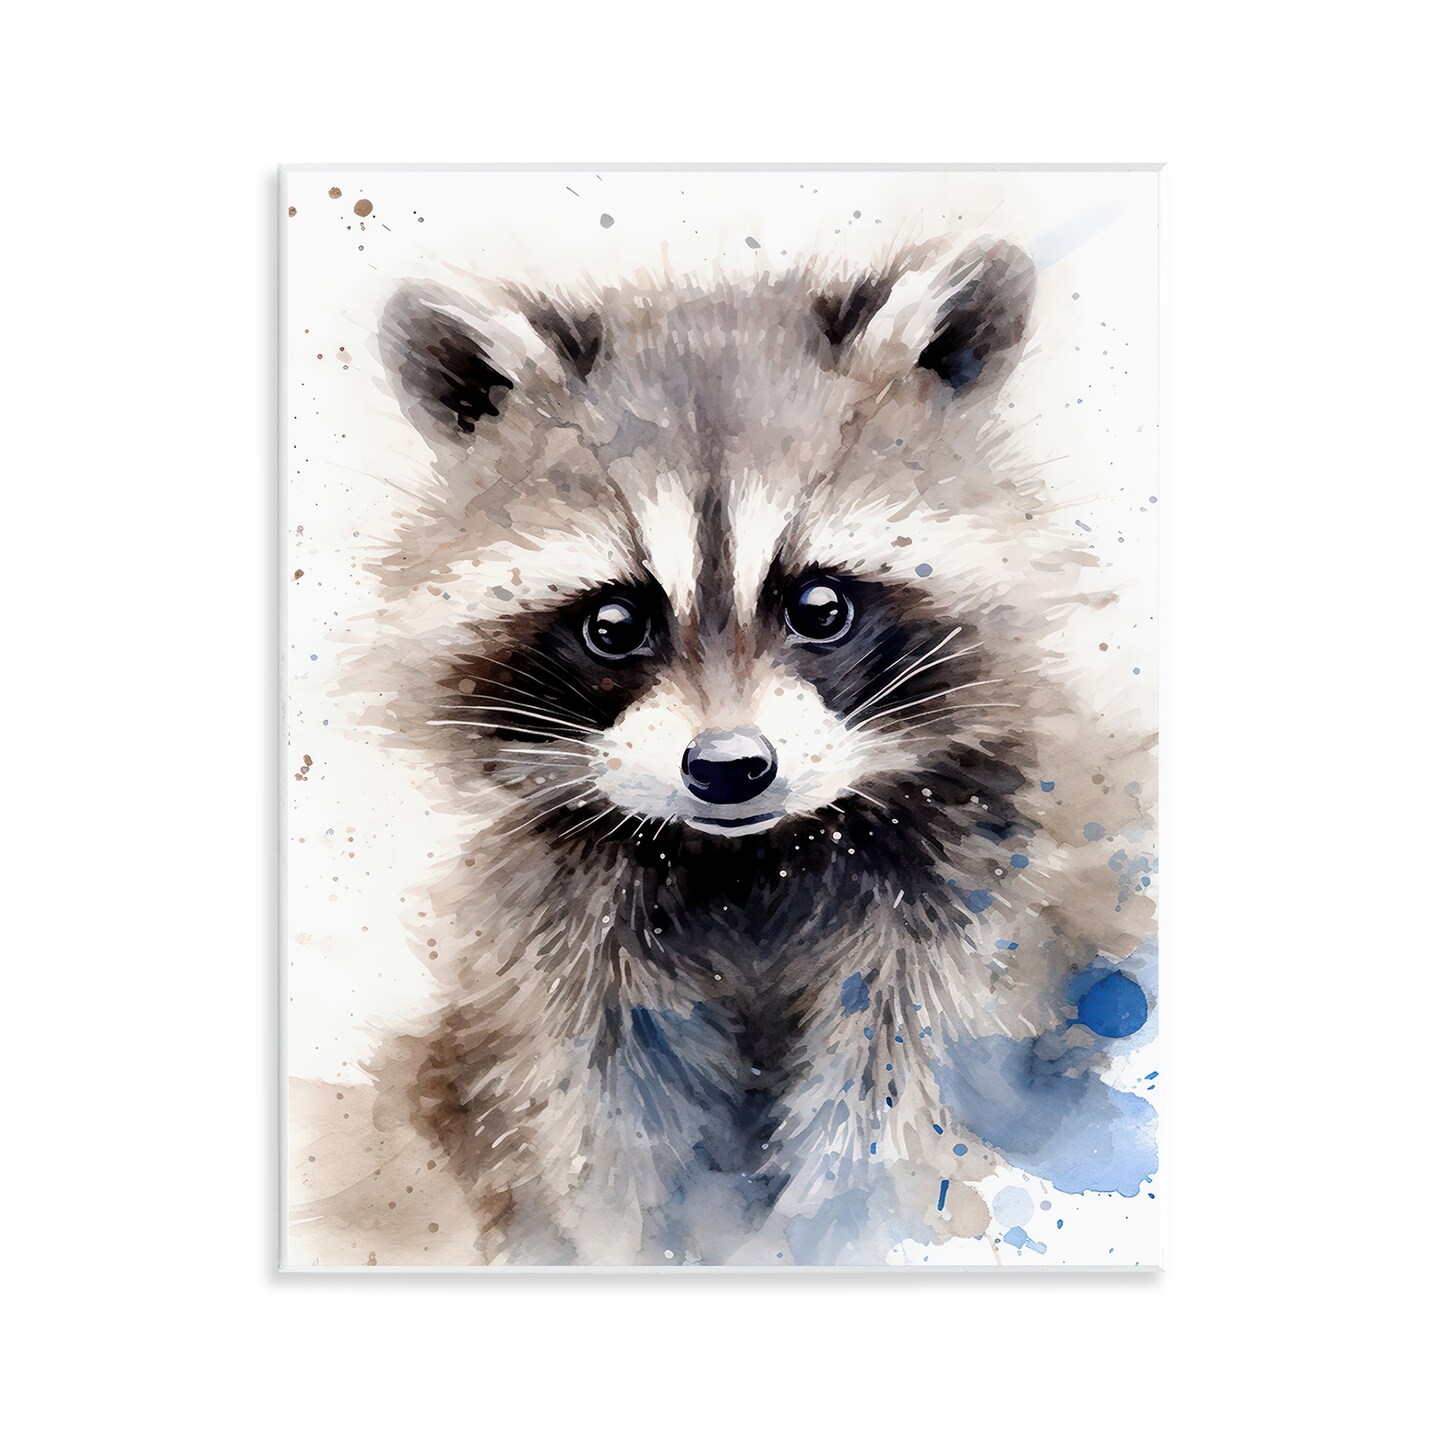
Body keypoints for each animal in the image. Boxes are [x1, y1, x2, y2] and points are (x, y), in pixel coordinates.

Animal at [297, 236, 1157, 1266]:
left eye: (820, 606)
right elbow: (600, 1122)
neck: (748, 862)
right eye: (613, 623)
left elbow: (903, 1092)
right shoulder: (565, 943)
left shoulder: (977, 887)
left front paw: (844, 1227)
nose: (729, 769)